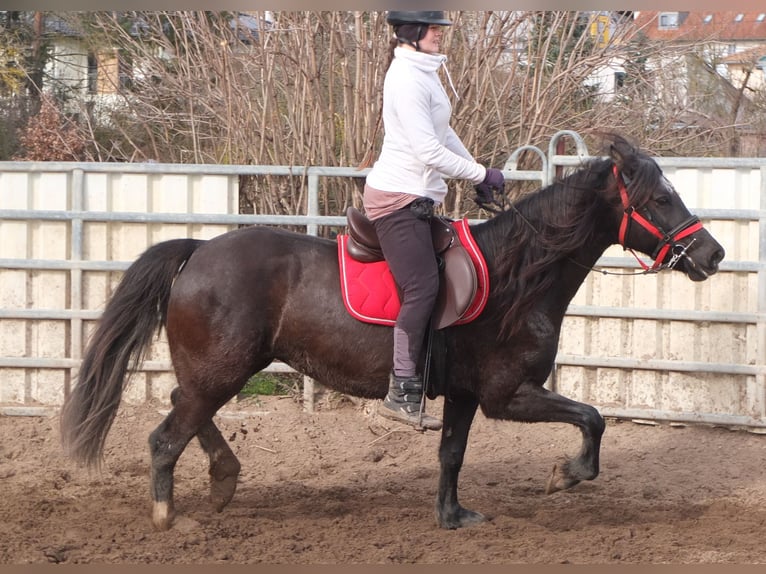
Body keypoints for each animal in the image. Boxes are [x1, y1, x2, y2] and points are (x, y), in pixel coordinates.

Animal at [60, 135, 728, 532]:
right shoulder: (507, 395)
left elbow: (452, 454)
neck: (518, 276)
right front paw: (566, 474)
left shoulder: (464, 396)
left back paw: (223, 482)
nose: (712, 254)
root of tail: (199, 250)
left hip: (218, 370)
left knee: (185, 410)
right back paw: (169, 515)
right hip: (222, 371)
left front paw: (452, 515)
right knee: (167, 435)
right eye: (661, 197)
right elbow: (592, 418)